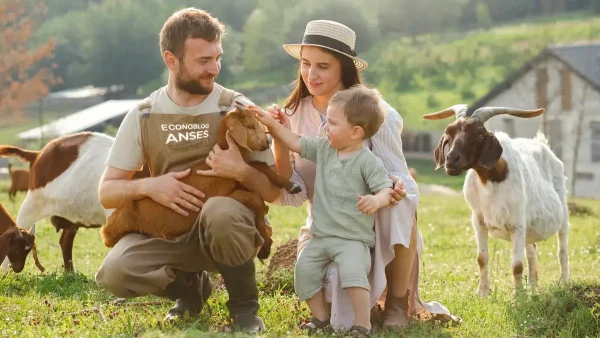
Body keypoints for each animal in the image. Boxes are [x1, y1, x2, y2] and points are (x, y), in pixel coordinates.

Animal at [101, 105, 304, 258]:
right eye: (250, 126)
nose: (266, 142)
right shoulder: (225, 191)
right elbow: (257, 200)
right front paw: (266, 245)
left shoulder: (240, 174)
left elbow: (259, 168)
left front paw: (292, 186)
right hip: (116, 229)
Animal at [424, 105, 568, 296]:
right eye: (449, 133)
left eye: (479, 135)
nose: (451, 160)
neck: (491, 182)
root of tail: (543, 145)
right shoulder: (478, 220)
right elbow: (482, 258)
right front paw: (483, 292)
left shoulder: (517, 223)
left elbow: (517, 265)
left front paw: (519, 296)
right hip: (529, 228)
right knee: (532, 250)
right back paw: (532, 287)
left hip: (562, 214)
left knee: (562, 250)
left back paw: (565, 282)